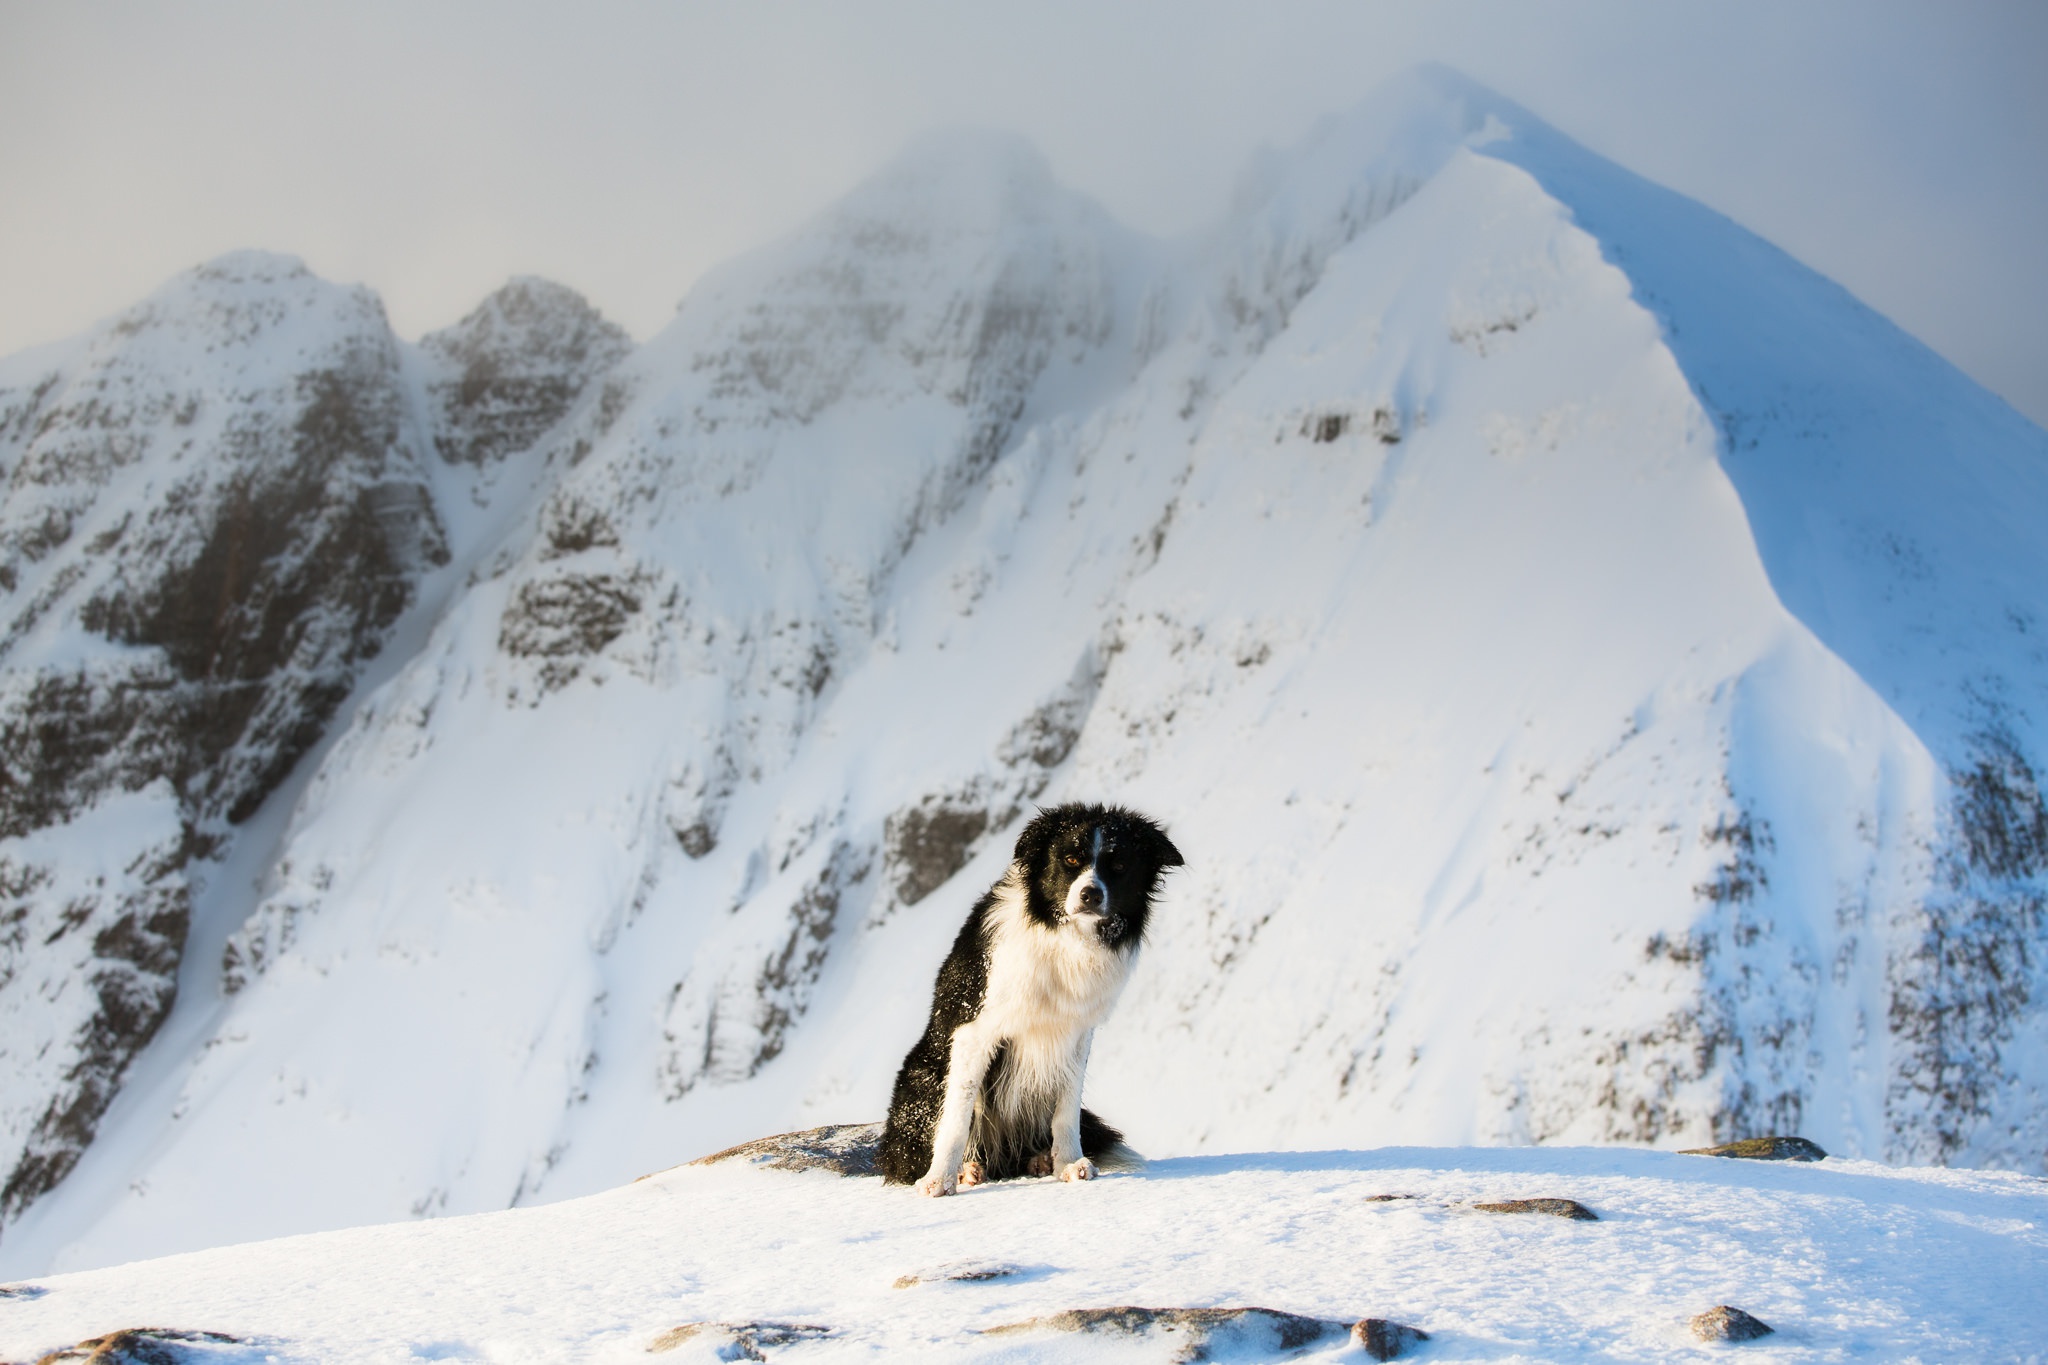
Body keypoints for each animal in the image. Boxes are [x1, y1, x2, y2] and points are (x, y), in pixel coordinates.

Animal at [880, 802, 1187, 1195]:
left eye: (1118, 866)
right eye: (1070, 859)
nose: (1091, 894)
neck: (1065, 939)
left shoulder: (1076, 1032)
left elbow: (1066, 1108)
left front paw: (1068, 1163)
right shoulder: (976, 1030)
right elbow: (957, 1116)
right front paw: (940, 1180)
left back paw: (1038, 1159)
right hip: (923, 1077)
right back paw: (967, 1169)